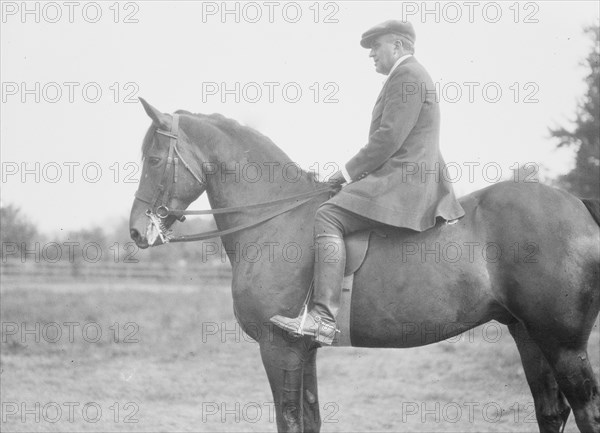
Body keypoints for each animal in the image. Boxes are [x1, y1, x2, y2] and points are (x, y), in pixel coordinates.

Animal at [129, 98, 596, 432]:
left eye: (152, 159)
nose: (136, 231)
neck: (277, 217)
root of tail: (578, 205)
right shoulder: (302, 351)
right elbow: (311, 419)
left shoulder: (278, 347)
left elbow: (290, 420)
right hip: (526, 333)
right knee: (551, 411)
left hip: (562, 342)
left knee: (584, 408)